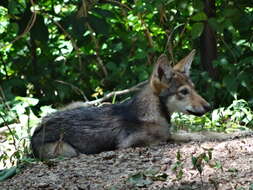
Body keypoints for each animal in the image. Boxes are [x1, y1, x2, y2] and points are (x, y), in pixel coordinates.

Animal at [31, 49, 249, 160]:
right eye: (183, 92)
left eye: (194, 89)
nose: (209, 107)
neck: (151, 113)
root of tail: (35, 131)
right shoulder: (142, 142)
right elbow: (198, 134)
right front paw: (235, 133)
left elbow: (200, 132)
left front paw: (238, 131)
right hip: (67, 150)